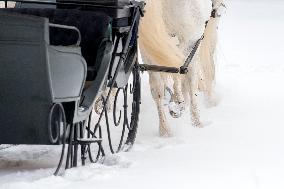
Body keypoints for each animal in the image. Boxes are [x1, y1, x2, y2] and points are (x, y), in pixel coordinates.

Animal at [139, 0, 224, 136]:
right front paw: (208, 101)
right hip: (190, 37)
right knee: (184, 71)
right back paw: (193, 120)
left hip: (148, 47)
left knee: (157, 88)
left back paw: (165, 131)